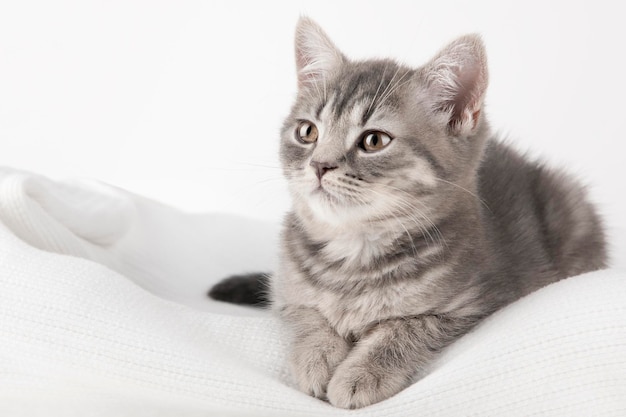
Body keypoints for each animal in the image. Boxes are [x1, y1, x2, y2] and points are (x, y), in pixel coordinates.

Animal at [208, 17, 604, 408]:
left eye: (374, 141)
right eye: (307, 132)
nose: (319, 165)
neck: (354, 254)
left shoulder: (476, 302)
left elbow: (408, 327)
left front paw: (361, 374)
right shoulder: (285, 289)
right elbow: (307, 314)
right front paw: (315, 357)